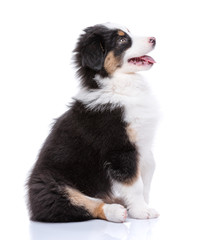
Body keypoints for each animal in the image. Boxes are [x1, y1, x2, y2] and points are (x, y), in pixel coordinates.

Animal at [27, 23, 159, 223]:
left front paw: (141, 206)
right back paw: (116, 211)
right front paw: (142, 211)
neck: (118, 85)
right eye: (122, 40)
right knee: (86, 203)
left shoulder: (142, 146)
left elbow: (148, 174)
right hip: (51, 186)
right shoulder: (120, 149)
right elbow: (134, 183)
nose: (154, 39)